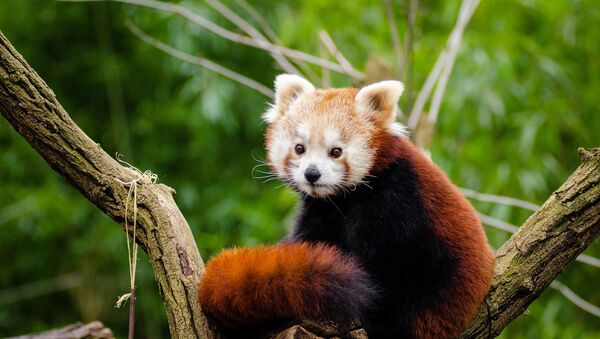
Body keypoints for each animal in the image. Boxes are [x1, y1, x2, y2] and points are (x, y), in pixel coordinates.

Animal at [199, 75, 494, 338]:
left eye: (336, 151)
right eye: (299, 148)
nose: (312, 174)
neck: (344, 199)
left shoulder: (398, 202)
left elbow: (377, 264)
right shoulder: (321, 211)